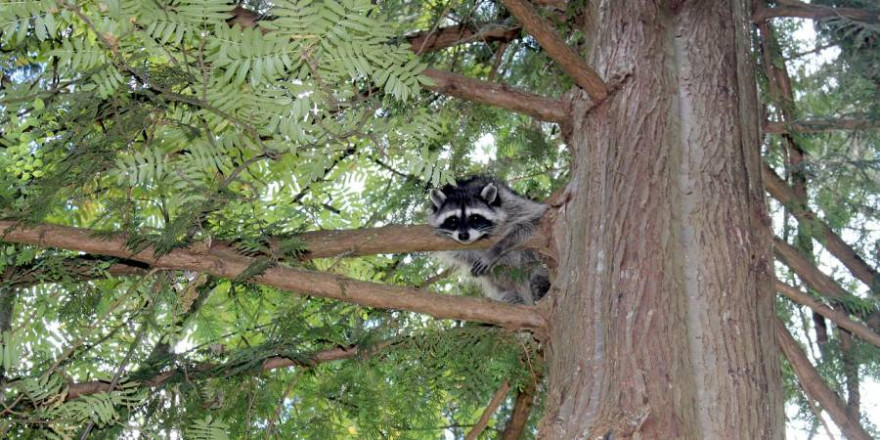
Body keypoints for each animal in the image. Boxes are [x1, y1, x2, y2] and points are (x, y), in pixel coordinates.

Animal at [428, 175, 552, 306]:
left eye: (475, 218)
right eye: (453, 220)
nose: (463, 236)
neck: (465, 189)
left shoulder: (511, 204)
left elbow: (529, 219)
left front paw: (496, 250)